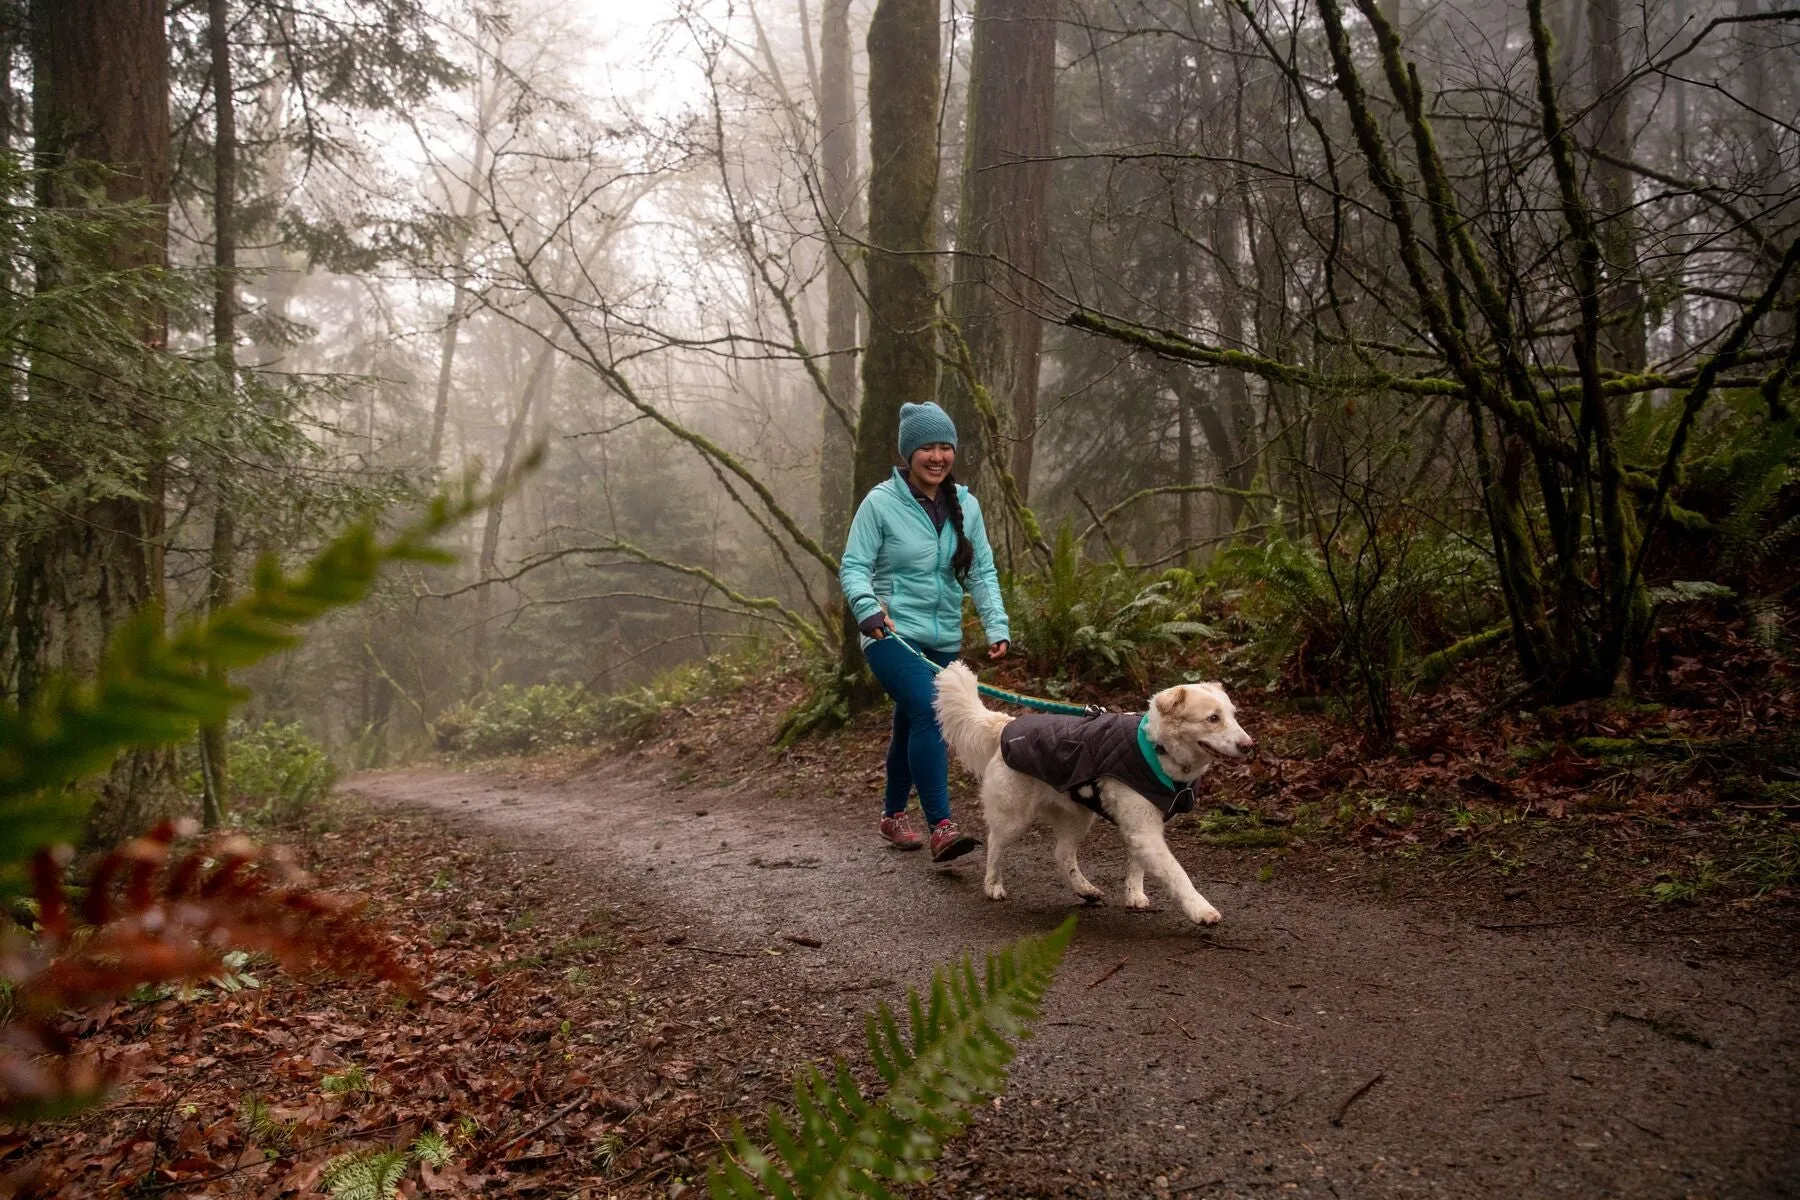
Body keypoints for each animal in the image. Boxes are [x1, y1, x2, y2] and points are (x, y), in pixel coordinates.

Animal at [943, 662, 1252, 928]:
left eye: (1233, 716)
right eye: (1213, 718)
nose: (1249, 746)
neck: (1158, 749)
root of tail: (1007, 725)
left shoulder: (1142, 830)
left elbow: (1136, 866)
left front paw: (1134, 895)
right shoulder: (1145, 831)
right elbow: (1178, 874)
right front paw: (1200, 909)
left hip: (1078, 817)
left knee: (1062, 854)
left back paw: (1085, 889)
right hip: (1014, 818)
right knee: (995, 844)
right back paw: (993, 885)